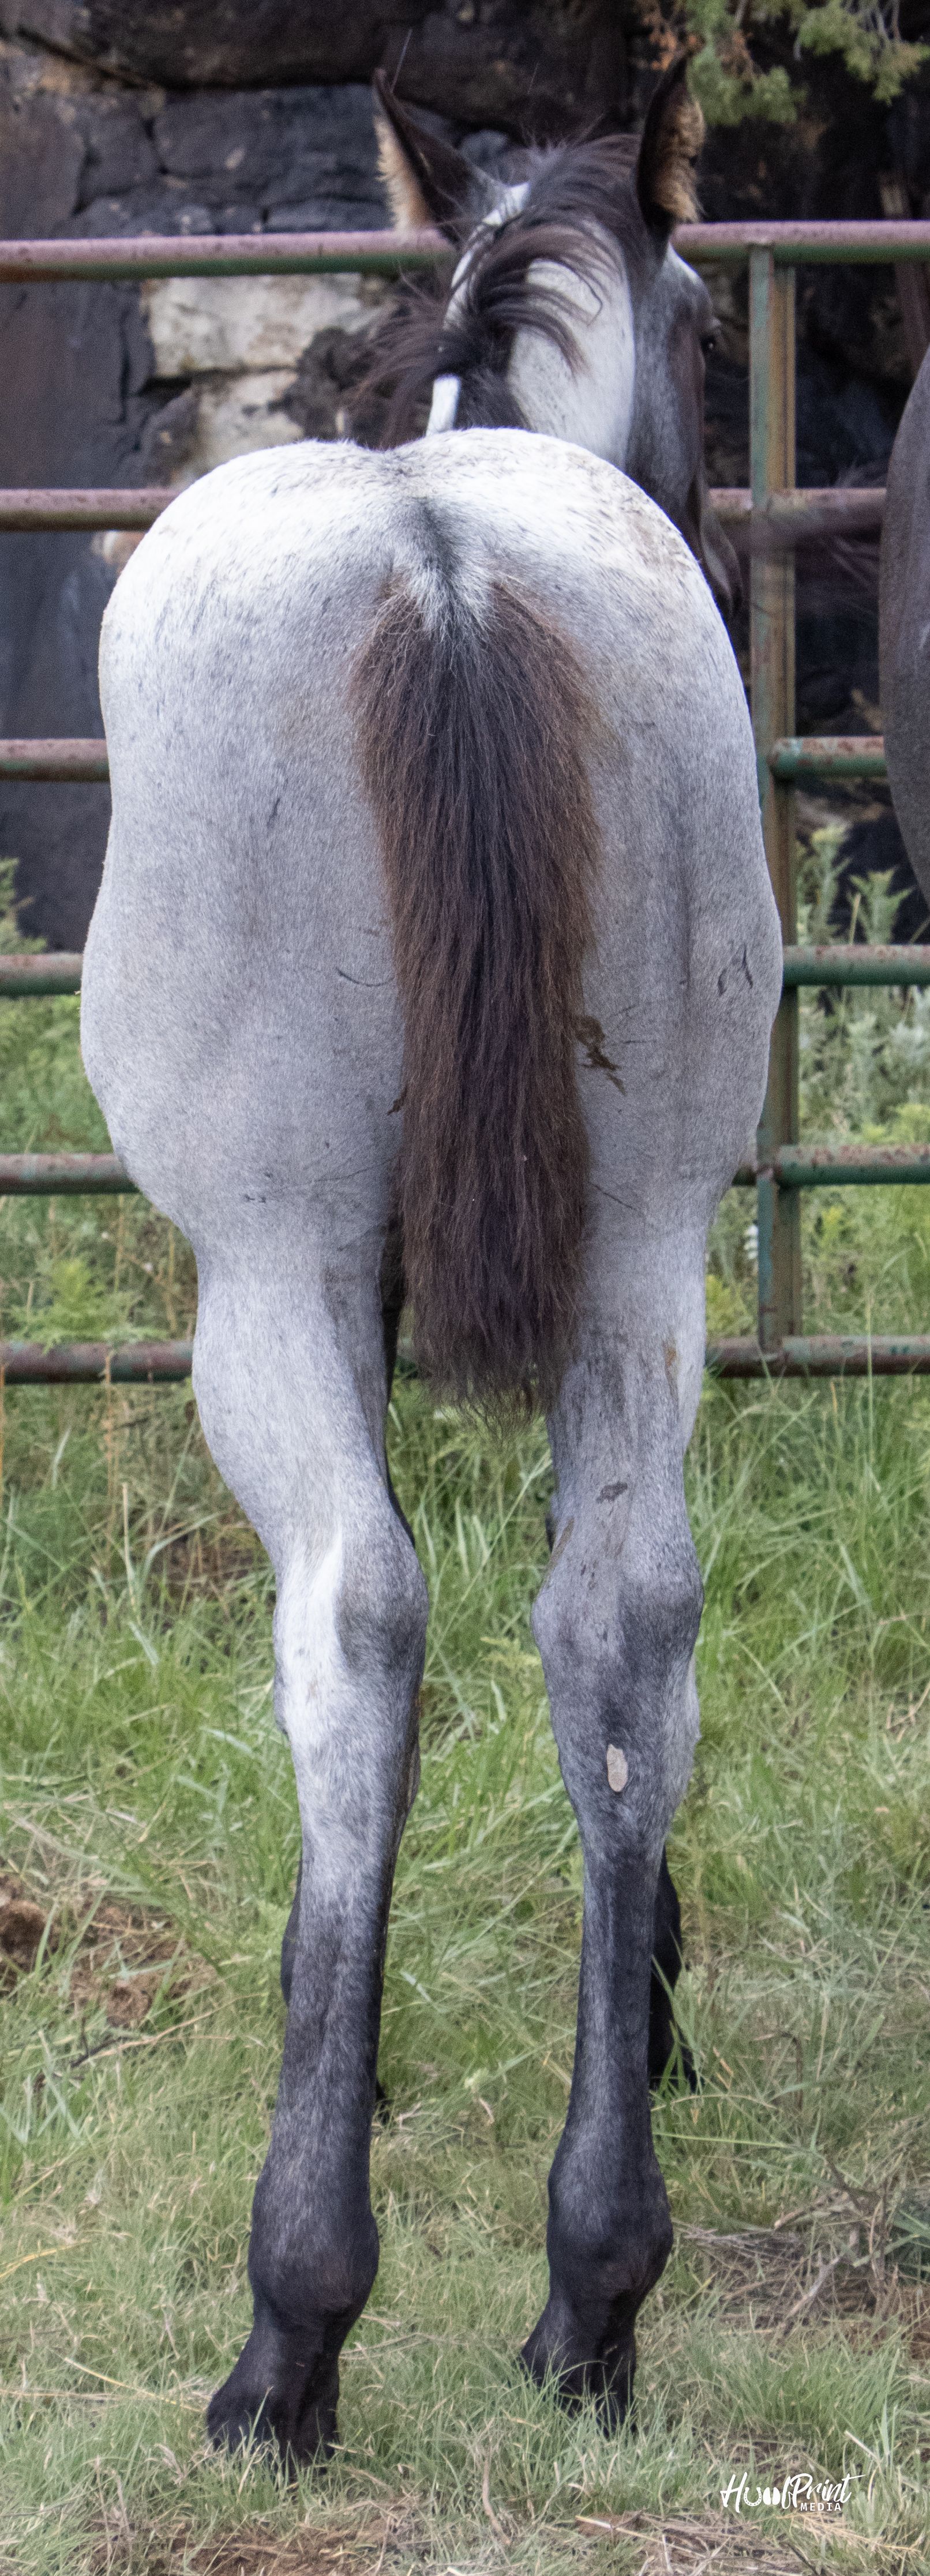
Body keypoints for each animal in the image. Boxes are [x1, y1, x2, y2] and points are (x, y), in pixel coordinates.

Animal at [80, 59, 782, 2466]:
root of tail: (444, 570)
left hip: (270, 1285)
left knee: (362, 1627)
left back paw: (290, 2330)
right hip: (646, 1253)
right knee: (622, 1621)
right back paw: (595, 2290)